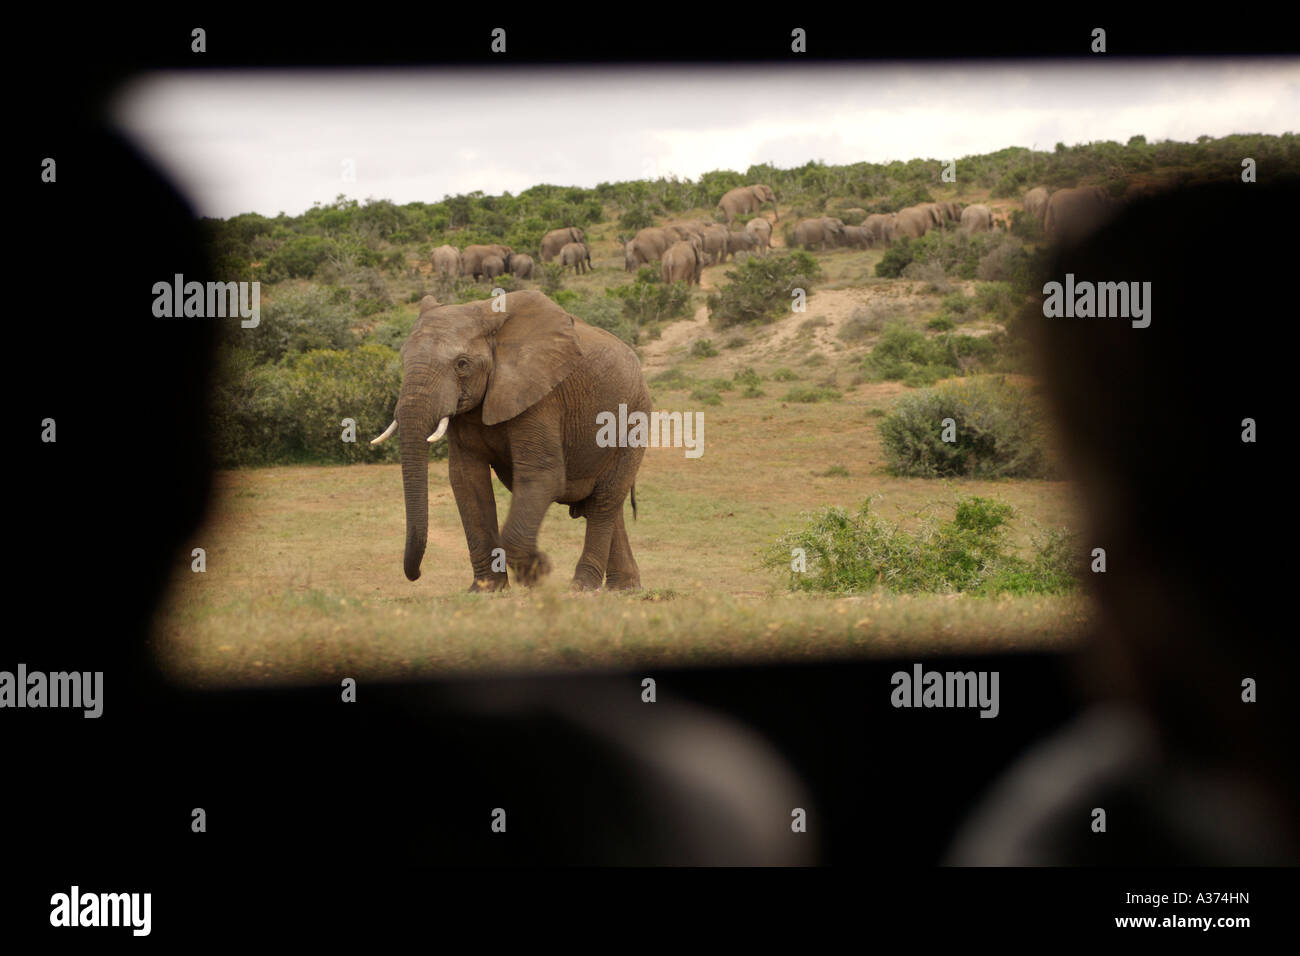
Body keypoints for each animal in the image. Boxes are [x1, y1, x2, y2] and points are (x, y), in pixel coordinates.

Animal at [370, 290, 650, 591]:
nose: (417, 573)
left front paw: (540, 570)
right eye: (403, 359)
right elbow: (466, 479)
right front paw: (486, 589)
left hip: (634, 419)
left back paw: (582, 587)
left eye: (462, 364)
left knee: (604, 501)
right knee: (607, 504)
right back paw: (624, 587)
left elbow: (543, 474)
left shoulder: (540, 396)